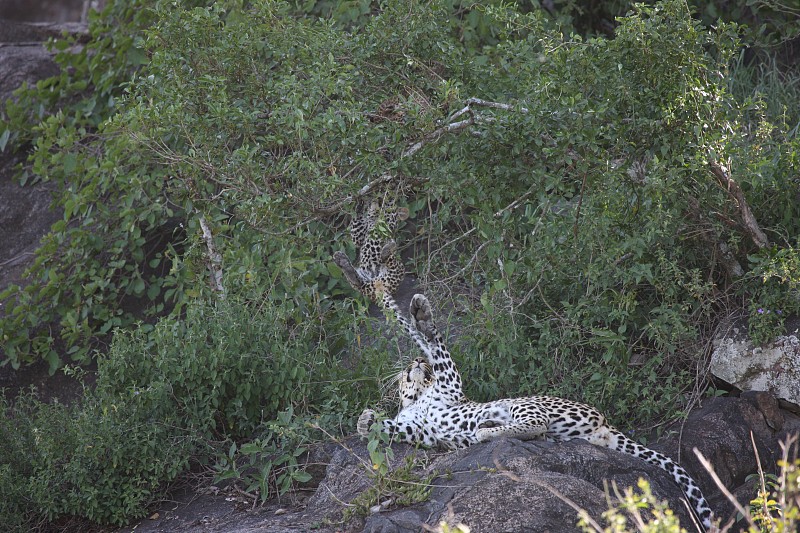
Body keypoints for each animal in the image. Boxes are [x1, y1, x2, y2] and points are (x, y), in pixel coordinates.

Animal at [360, 294, 716, 528]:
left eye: (418, 362)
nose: (416, 361)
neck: (417, 398)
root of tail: (605, 423)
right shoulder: (421, 432)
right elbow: (395, 428)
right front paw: (366, 421)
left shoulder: (450, 386)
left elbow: (435, 344)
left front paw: (420, 313)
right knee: (543, 433)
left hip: (526, 403)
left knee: (536, 424)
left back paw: (485, 430)